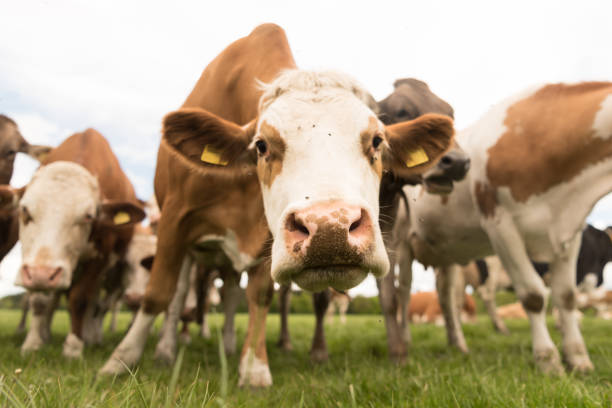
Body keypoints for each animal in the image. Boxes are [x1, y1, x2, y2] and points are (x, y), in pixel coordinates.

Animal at [0, 129, 145, 358]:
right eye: (24, 210)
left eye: (88, 216)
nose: (42, 274)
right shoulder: (32, 256)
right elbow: (39, 301)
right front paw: (33, 344)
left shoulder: (100, 257)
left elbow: (80, 299)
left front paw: (74, 347)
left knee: (95, 304)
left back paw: (91, 336)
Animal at [100, 23, 454, 388]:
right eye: (261, 145)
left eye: (377, 141)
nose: (331, 229)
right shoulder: (175, 218)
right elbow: (159, 292)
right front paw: (120, 360)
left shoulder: (264, 237)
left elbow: (259, 296)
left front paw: (253, 368)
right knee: (179, 293)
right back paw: (166, 348)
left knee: (230, 294)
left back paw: (228, 344)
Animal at [396, 81, 612, 374]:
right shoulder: (501, 227)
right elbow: (533, 295)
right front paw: (548, 361)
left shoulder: (570, 234)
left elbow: (567, 297)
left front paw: (579, 359)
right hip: (401, 245)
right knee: (403, 292)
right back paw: (403, 346)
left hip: (446, 252)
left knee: (447, 297)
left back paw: (458, 344)